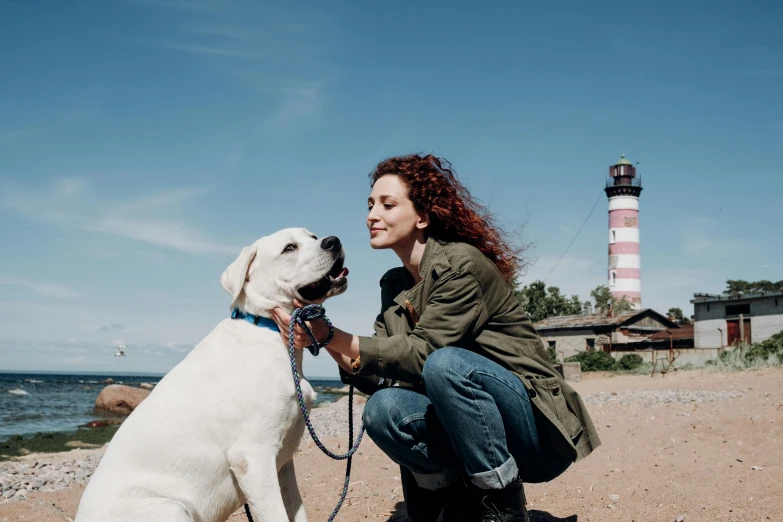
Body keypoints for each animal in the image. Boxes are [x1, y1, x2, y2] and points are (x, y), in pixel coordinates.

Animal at [76, 228, 350, 520]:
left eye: (313, 237)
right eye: (289, 248)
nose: (333, 241)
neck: (268, 331)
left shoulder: (283, 460)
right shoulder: (253, 456)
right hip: (172, 507)